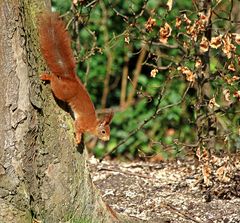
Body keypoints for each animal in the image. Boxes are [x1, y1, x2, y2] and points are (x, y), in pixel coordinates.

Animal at [38, 12, 113, 144]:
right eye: (103, 131)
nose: (108, 139)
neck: (92, 124)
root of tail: (71, 79)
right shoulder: (81, 123)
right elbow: (77, 128)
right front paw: (78, 139)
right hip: (62, 92)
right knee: (55, 82)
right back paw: (49, 77)